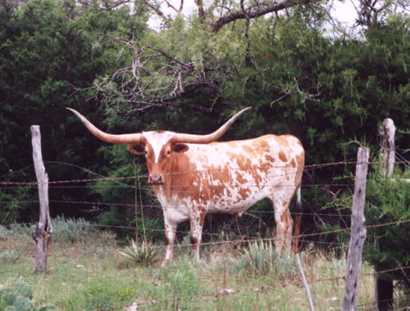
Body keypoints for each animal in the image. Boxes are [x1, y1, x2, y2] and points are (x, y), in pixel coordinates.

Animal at [67, 108, 304, 264]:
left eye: (168, 151)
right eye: (146, 152)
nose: (155, 178)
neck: (172, 184)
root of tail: (290, 139)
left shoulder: (198, 208)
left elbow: (194, 238)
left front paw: (194, 263)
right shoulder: (167, 210)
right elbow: (169, 237)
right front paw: (166, 263)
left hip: (281, 196)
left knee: (282, 225)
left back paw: (278, 256)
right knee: (291, 223)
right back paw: (287, 256)